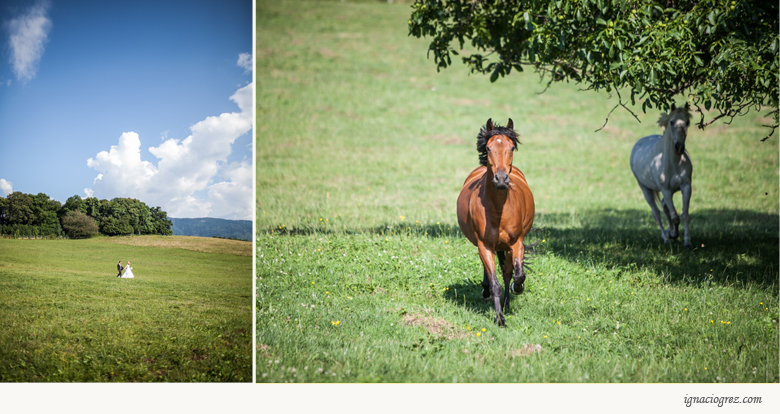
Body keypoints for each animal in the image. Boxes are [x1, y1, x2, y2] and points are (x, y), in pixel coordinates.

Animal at [458, 117, 536, 326]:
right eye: (489, 148)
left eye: (511, 147)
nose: (501, 179)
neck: (498, 209)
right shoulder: (485, 245)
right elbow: (495, 284)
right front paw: (500, 319)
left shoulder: (516, 243)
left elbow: (517, 275)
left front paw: (517, 289)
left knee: (508, 272)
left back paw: (508, 301)